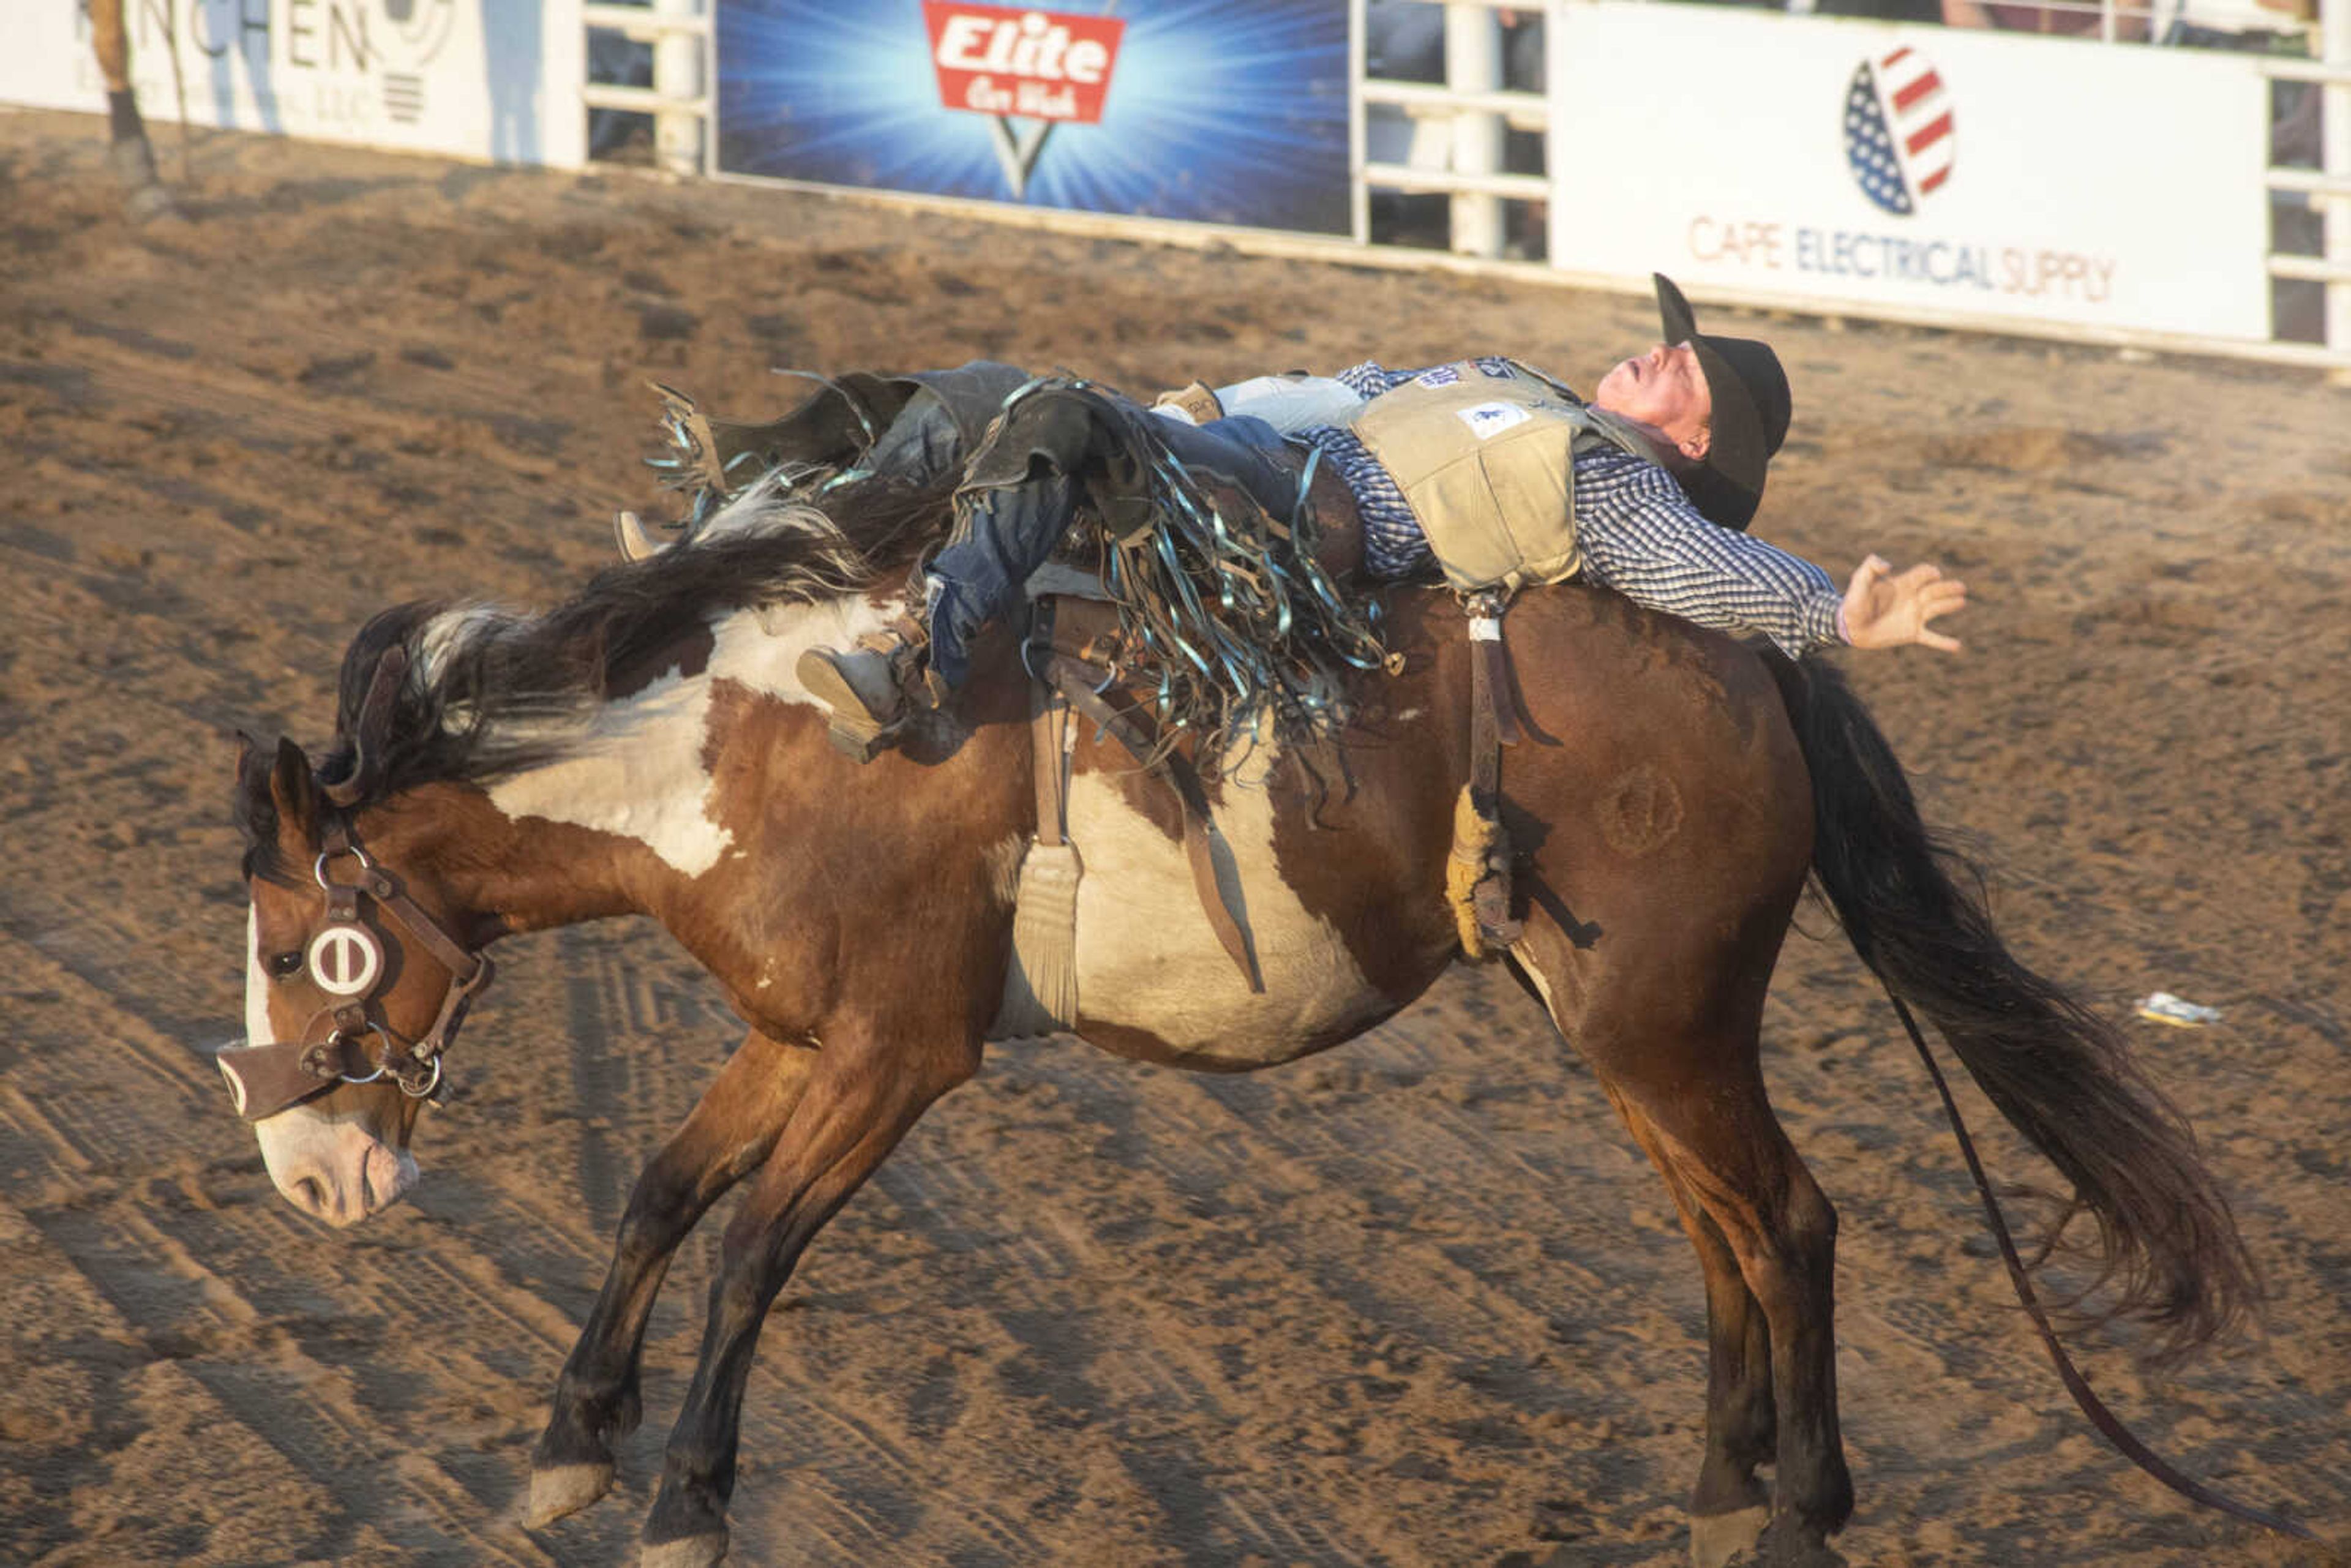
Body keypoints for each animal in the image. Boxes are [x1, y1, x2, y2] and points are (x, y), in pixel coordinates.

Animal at [220, 373, 2294, 1561]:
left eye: (316, 942)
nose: (305, 1176)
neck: (746, 736)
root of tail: (1753, 659)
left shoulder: (900, 1050)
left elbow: (751, 1251)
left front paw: (686, 1500)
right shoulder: (795, 1031)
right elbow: (662, 1193)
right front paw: (570, 1449)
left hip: (1665, 1014)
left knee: (1787, 1222)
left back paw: (1793, 1519)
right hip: (1618, 1021)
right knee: (1723, 1230)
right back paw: (1716, 1501)